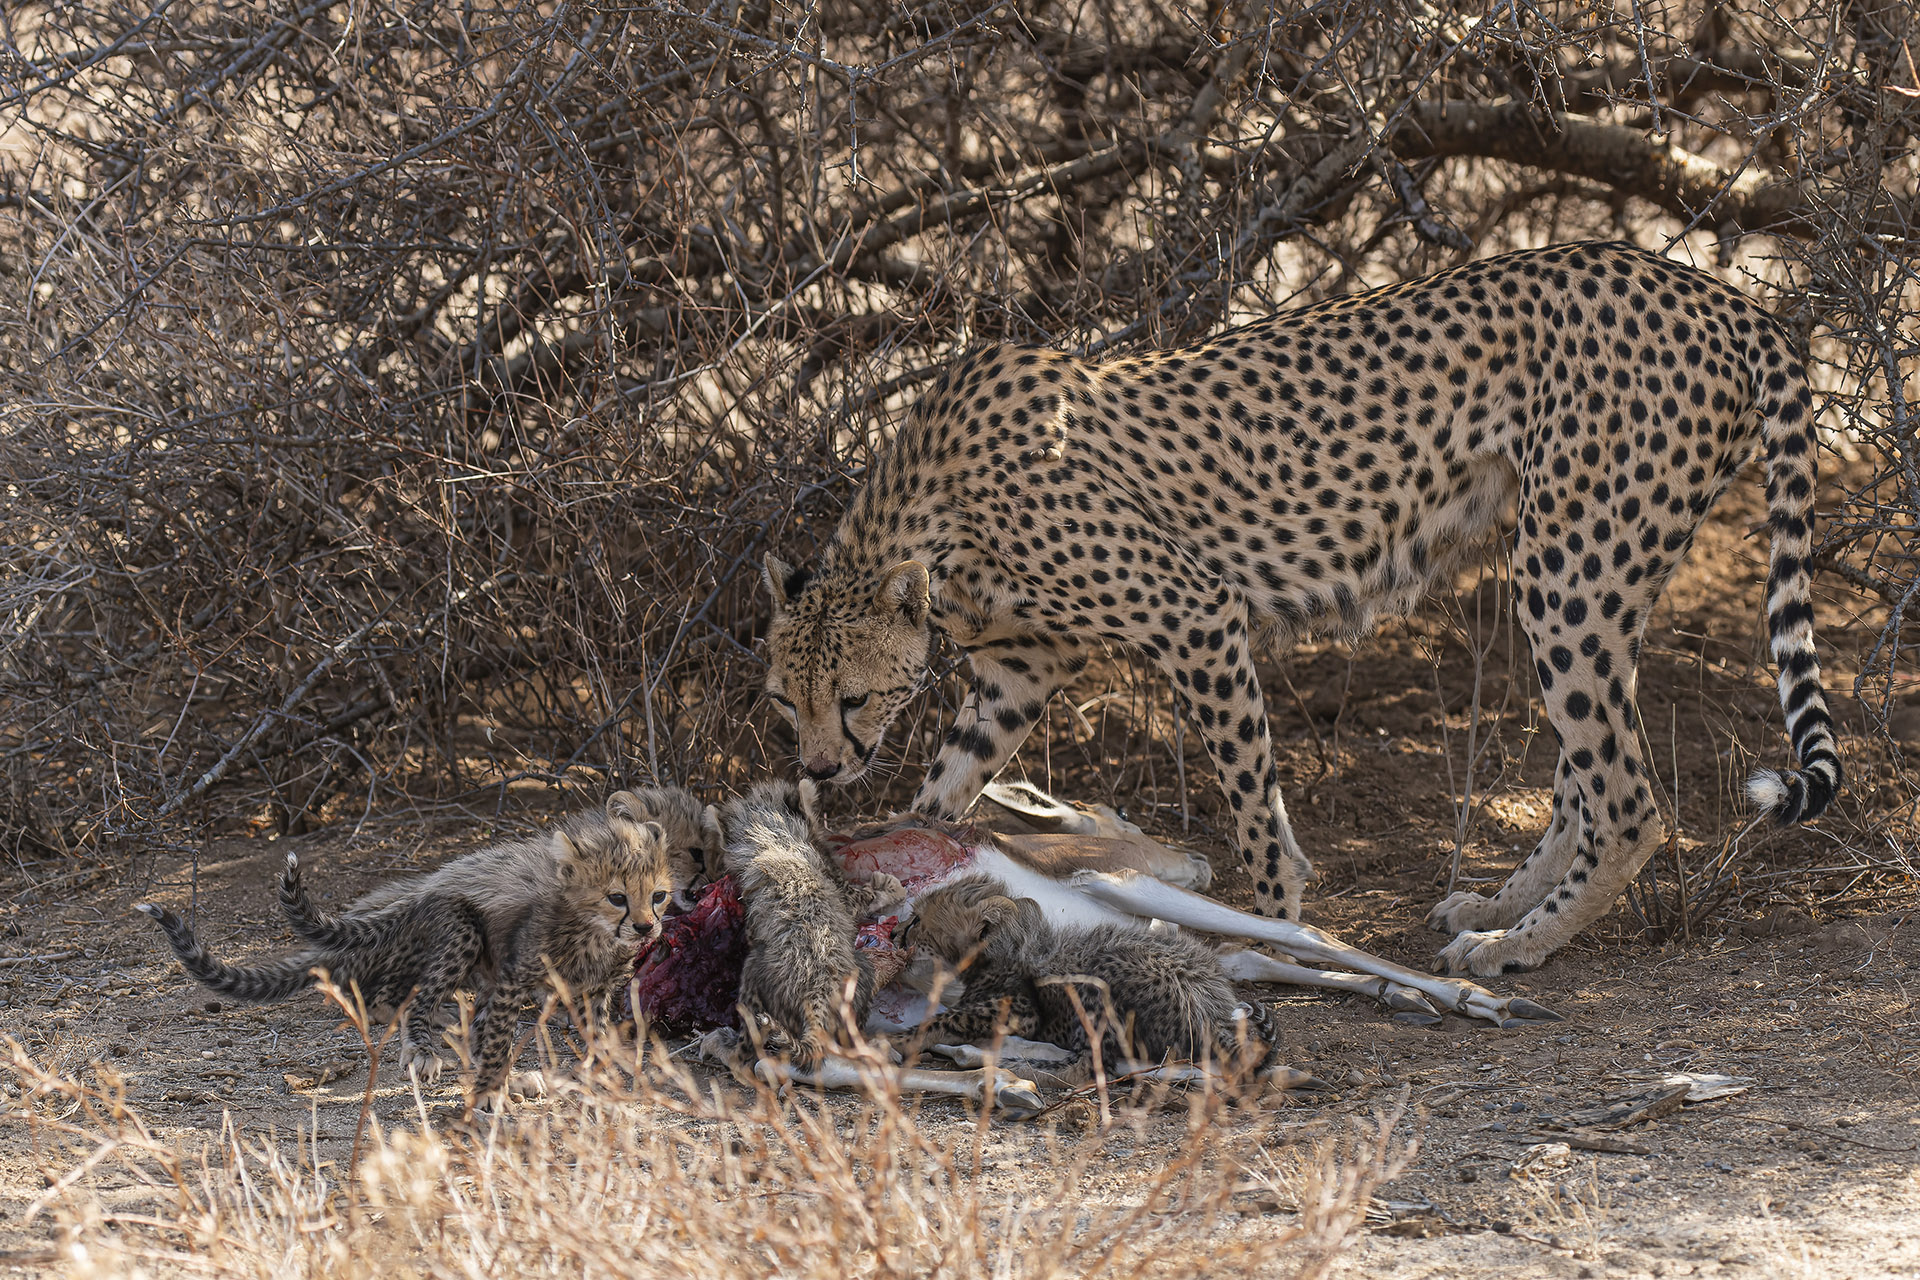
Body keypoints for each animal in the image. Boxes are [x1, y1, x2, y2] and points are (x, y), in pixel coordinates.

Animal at [756, 242, 1835, 982]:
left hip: (1566, 571)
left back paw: (1513, 947)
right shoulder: (1017, 673)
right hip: (1600, 576)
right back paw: (1497, 906)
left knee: (1627, 798)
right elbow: (940, 792)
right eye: (782, 702)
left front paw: (1276, 922)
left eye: (852, 697)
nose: (820, 767)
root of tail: (1717, 293)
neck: (933, 514)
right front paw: (888, 879)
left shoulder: (1197, 615)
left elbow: (1253, 808)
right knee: (1587, 773)